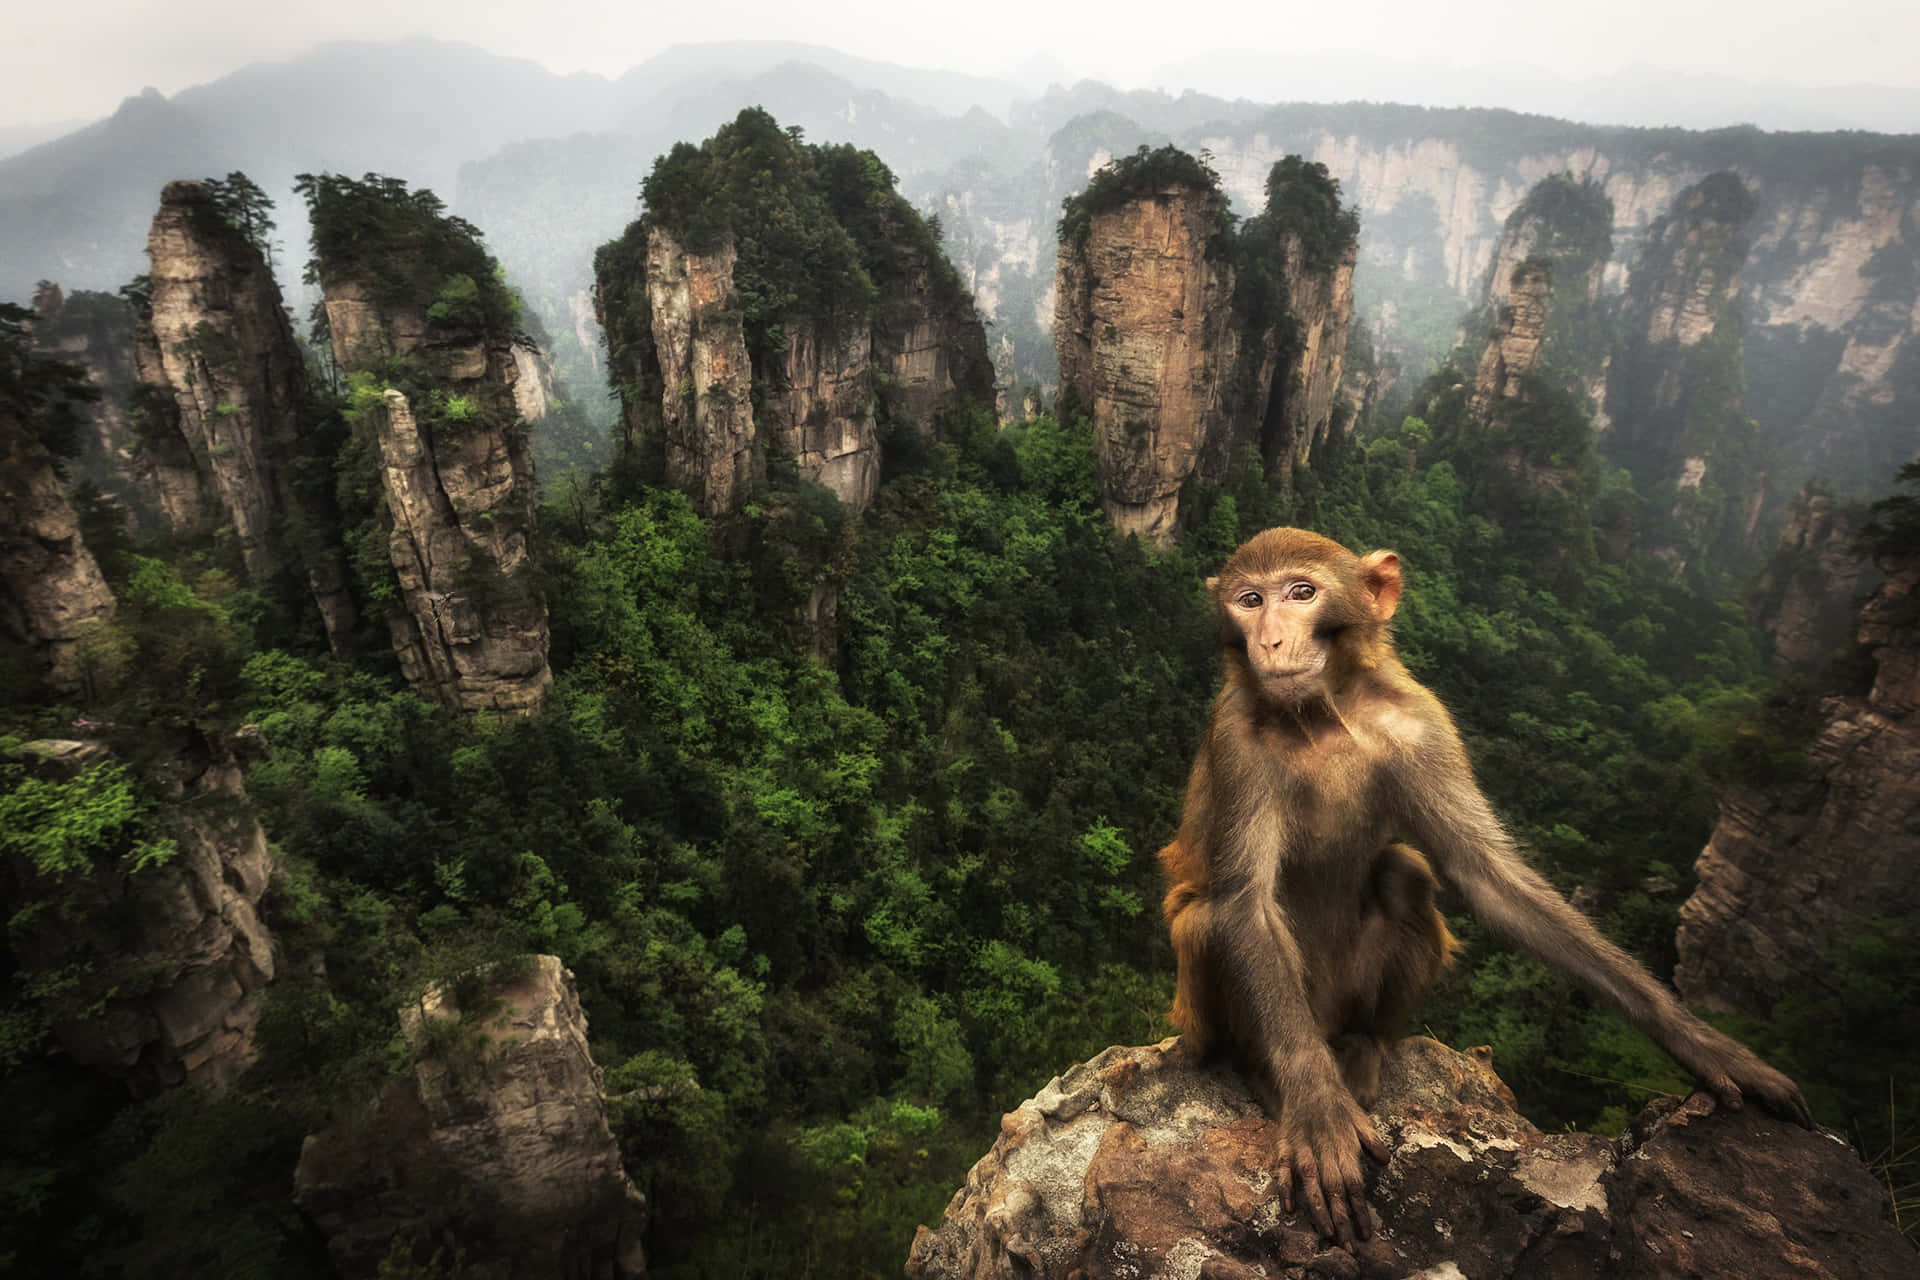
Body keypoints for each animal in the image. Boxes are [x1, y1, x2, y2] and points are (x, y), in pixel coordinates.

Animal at [1158, 526, 1809, 1249]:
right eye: (1250, 600)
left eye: (1301, 593)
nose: (1270, 640)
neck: (1320, 714)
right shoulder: (1236, 738)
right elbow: (1245, 903)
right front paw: (1317, 1108)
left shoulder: (1423, 723)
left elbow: (1486, 873)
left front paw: (1695, 1038)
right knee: (1210, 921)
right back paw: (1265, 1068)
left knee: (1405, 875)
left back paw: (1366, 1045)